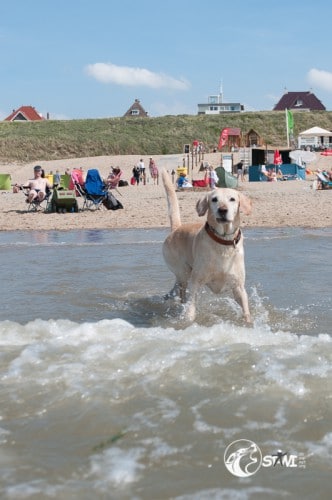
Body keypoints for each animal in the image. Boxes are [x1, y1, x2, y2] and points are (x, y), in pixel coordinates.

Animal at [161, 170, 252, 322]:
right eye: (214, 199)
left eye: (232, 199)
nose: (222, 210)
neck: (223, 241)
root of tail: (176, 228)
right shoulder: (196, 281)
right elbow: (191, 305)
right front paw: (188, 319)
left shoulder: (238, 286)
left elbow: (246, 310)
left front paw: (248, 323)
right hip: (184, 272)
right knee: (182, 291)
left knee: (176, 287)